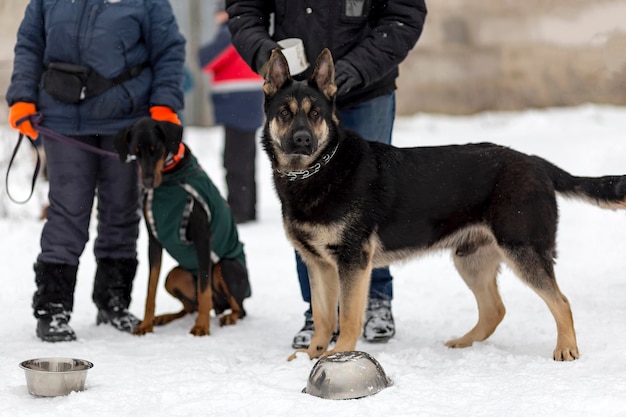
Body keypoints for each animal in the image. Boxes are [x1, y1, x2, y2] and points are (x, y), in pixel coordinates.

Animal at [260, 48, 624, 360]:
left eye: (315, 114)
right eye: (284, 113)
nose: (303, 140)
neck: (319, 169)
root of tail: (536, 162)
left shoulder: (353, 262)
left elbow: (348, 316)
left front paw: (339, 355)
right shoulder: (318, 265)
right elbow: (323, 317)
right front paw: (311, 356)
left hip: (522, 250)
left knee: (561, 301)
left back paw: (566, 348)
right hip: (471, 259)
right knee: (495, 310)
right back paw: (464, 343)